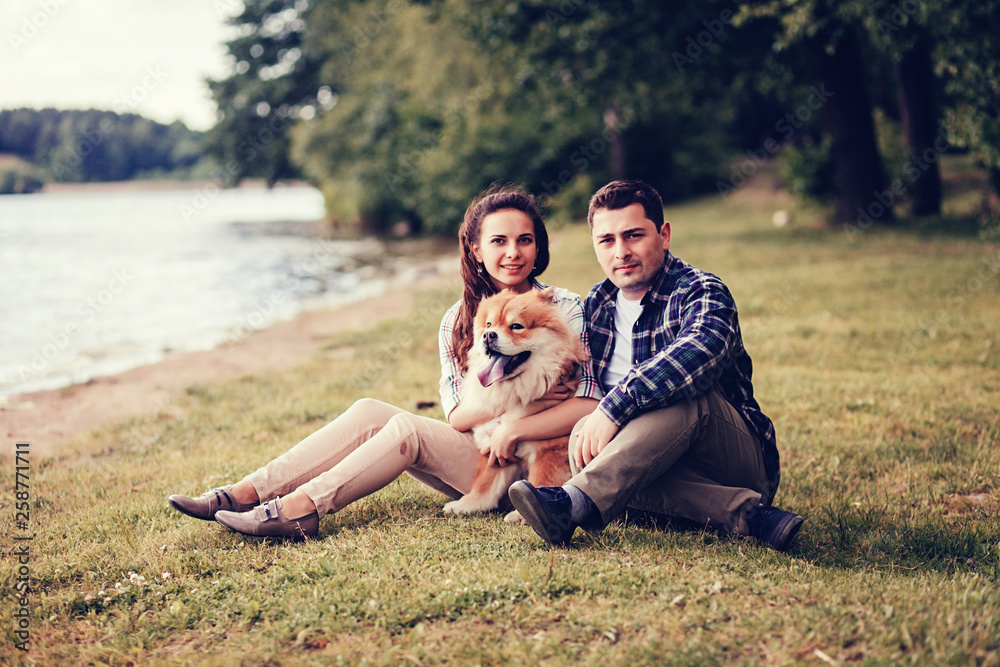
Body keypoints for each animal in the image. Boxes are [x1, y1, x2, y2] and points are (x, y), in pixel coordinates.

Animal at [444, 288, 584, 516]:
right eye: (489, 324)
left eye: (516, 326)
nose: (488, 335)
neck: (515, 391)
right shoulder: (495, 443)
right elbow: (486, 481)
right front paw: (468, 504)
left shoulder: (550, 449)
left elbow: (541, 482)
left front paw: (526, 512)